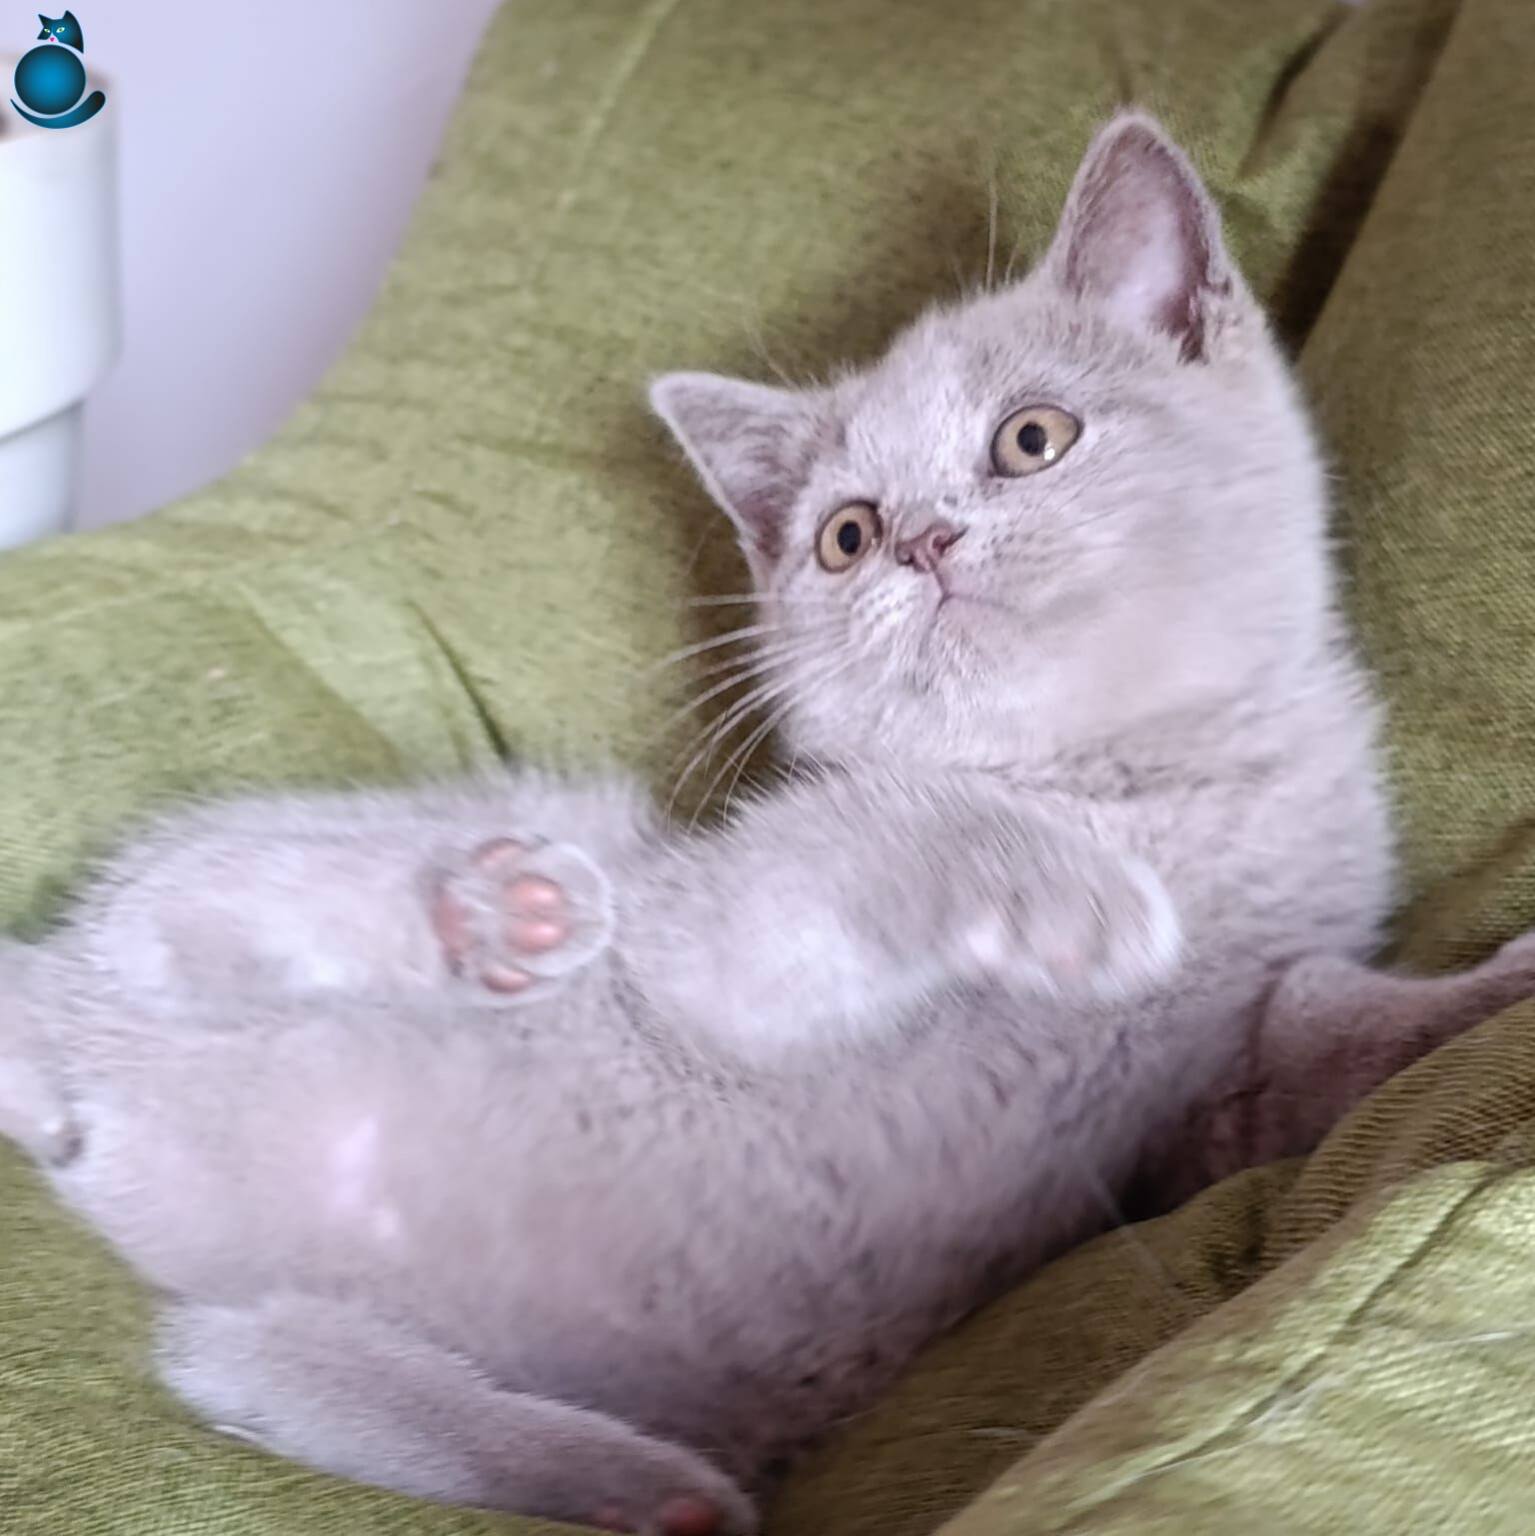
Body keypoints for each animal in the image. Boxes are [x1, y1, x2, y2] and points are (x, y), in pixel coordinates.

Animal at [4, 112, 1535, 1536]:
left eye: (1030, 438)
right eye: (844, 536)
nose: (917, 542)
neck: (1123, 779)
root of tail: (77, 1095)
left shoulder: (1203, 1096)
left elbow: (1324, 1035)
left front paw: (1486, 996)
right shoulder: (730, 945)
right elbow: (903, 843)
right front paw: (1082, 900)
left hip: (289, 1308)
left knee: (238, 1356)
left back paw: (624, 1478)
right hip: (472, 855)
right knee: (176, 908)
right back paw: (488, 916)